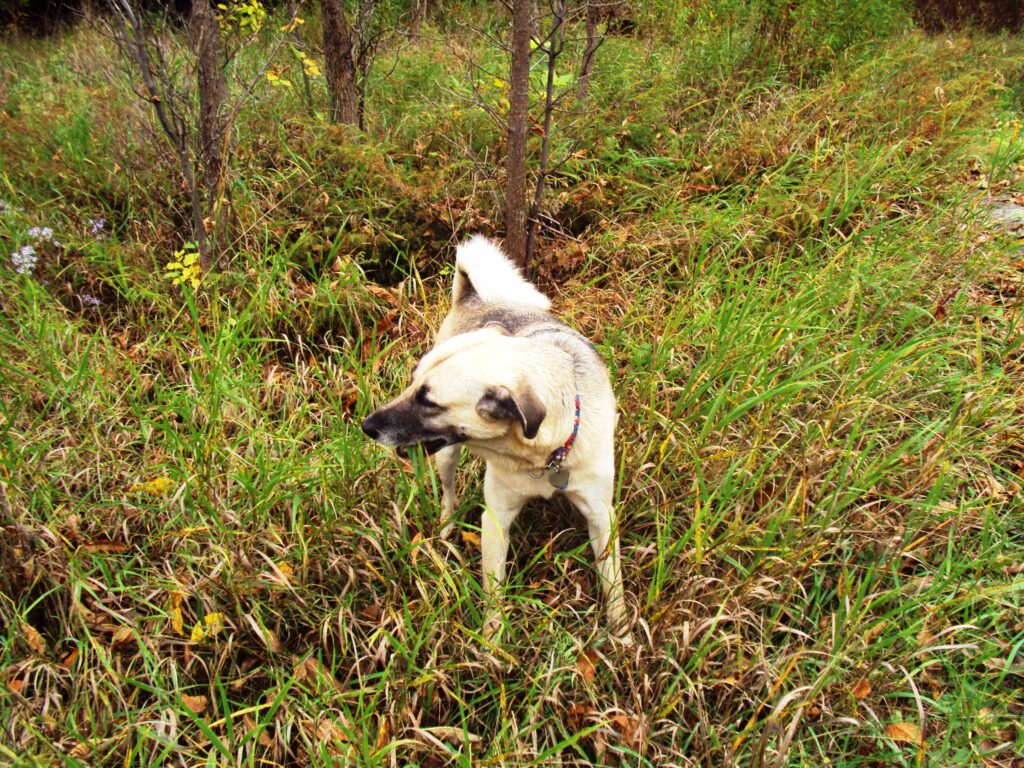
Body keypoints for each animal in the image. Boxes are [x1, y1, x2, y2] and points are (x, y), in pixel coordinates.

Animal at [360, 234, 630, 643]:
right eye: (412, 383)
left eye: (428, 402)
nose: (367, 426)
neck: (544, 456)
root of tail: (474, 295)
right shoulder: (497, 520)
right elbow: (494, 590)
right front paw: (491, 643)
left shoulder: (602, 517)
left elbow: (613, 585)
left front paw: (623, 637)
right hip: (446, 458)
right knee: (449, 493)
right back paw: (447, 526)